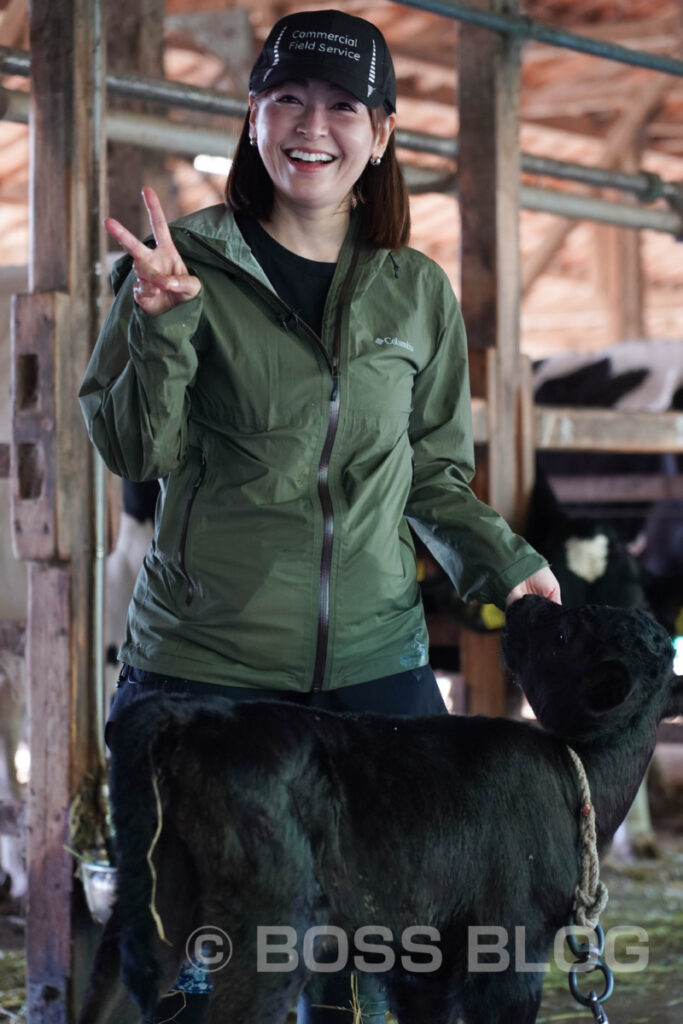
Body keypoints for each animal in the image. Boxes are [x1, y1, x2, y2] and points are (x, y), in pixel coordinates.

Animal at [78, 598, 679, 1024]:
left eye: (563, 634)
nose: (523, 602)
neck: (575, 772)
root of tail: (193, 716)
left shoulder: (424, 965)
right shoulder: (509, 951)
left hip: (152, 908)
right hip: (265, 933)